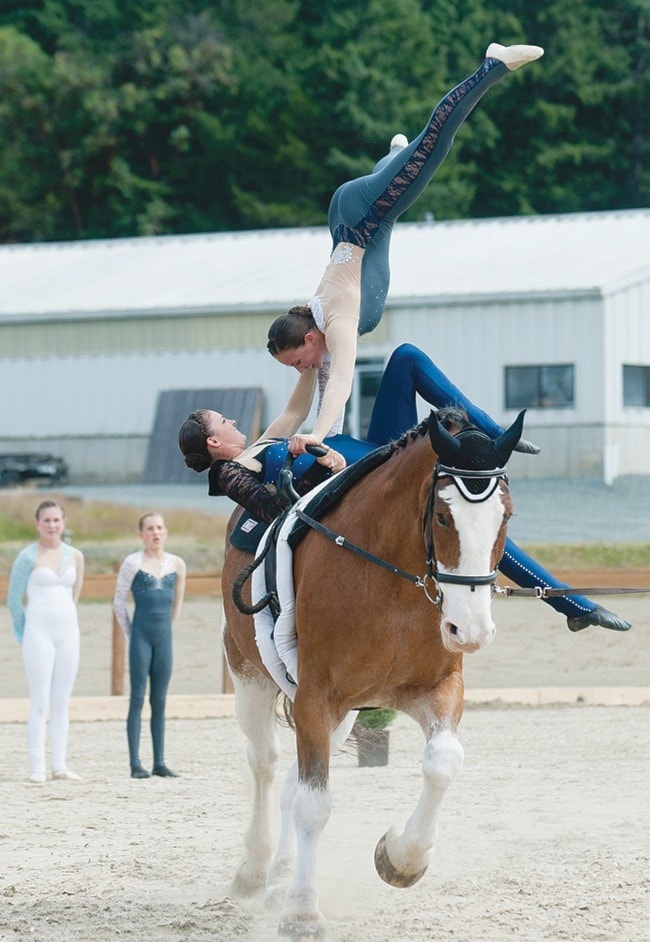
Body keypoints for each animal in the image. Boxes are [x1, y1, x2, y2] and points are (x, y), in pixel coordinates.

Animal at [220, 410, 524, 940]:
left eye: (505, 517)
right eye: (443, 517)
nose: (470, 631)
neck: (393, 583)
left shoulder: (434, 689)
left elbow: (443, 762)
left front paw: (400, 860)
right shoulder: (317, 699)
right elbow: (314, 804)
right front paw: (303, 912)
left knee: (292, 780)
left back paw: (279, 879)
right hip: (250, 677)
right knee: (265, 763)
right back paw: (255, 873)